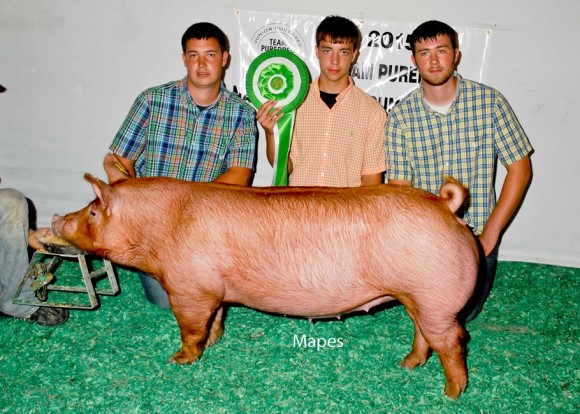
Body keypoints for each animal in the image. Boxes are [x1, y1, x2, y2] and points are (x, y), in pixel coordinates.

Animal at [53, 172, 480, 398]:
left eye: (93, 212)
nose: (57, 218)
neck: (158, 229)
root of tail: (446, 205)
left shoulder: (188, 288)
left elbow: (191, 327)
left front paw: (179, 360)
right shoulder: (215, 291)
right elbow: (217, 318)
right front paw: (216, 342)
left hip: (435, 297)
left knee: (453, 340)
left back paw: (451, 393)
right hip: (422, 298)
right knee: (424, 334)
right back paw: (406, 365)